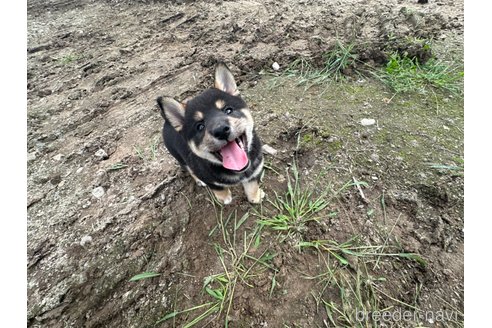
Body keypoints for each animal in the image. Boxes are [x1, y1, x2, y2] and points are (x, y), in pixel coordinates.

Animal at [158, 62, 266, 204]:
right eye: (200, 126)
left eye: (228, 110)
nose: (221, 131)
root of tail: (167, 122)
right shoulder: (210, 180)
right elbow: (220, 189)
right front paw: (225, 199)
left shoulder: (254, 171)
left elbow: (253, 187)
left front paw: (256, 197)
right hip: (180, 157)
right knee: (189, 169)